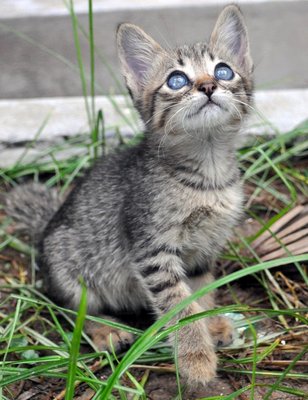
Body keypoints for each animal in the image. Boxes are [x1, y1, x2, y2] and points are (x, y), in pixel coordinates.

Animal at [6, 3, 254, 384]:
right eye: (177, 80)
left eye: (223, 71)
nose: (209, 85)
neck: (207, 175)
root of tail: (47, 227)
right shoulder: (153, 251)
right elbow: (179, 306)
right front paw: (196, 359)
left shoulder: (203, 251)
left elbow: (200, 294)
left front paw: (210, 324)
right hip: (70, 271)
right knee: (75, 313)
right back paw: (106, 330)